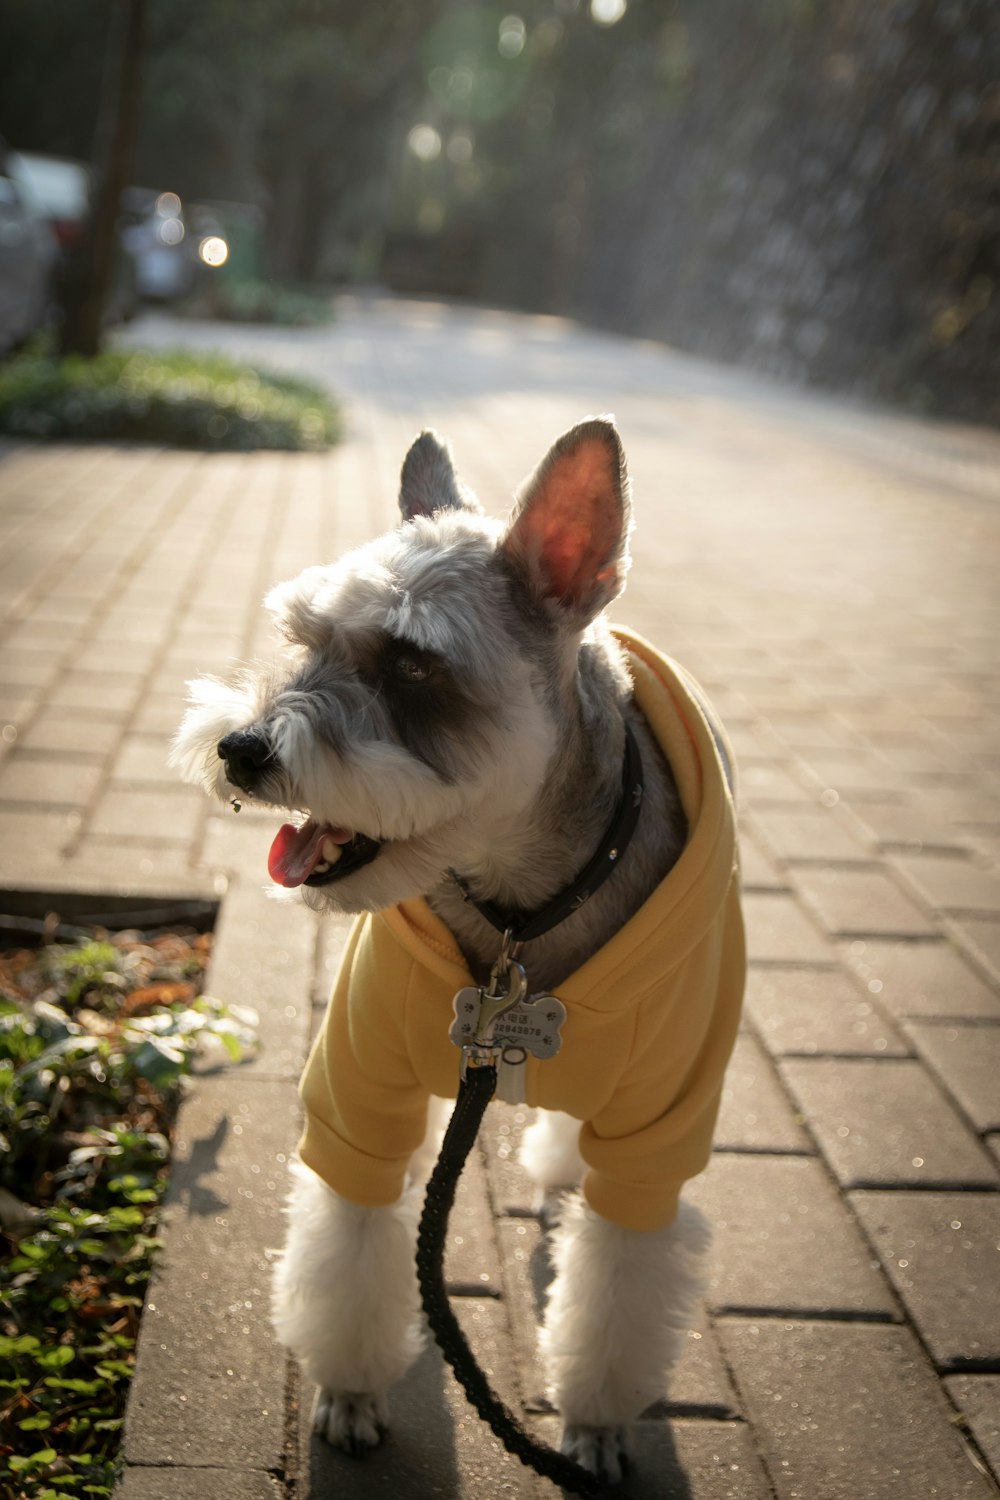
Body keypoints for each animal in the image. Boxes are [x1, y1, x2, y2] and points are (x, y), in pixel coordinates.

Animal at [172, 417, 746, 1482]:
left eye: (410, 665)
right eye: (302, 634)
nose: (241, 749)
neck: (521, 912)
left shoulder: (658, 1139)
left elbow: (617, 1291)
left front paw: (597, 1424)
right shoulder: (357, 1102)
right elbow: (348, 1245)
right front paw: (350, 1392)